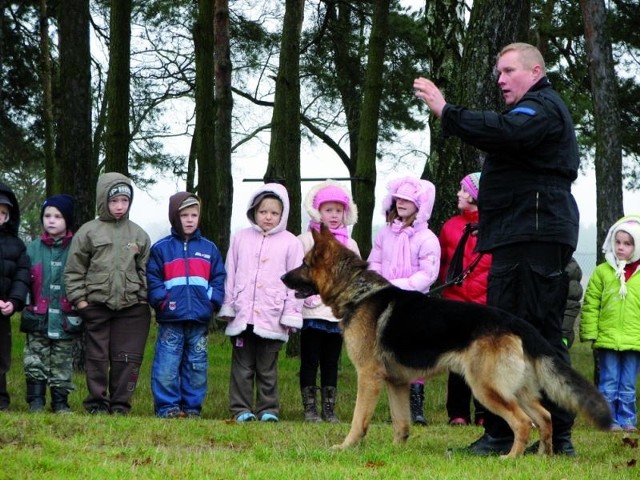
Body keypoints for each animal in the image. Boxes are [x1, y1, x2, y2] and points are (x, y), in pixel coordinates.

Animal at [282, 225, 612, 458]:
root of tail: (518, 324)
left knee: (522, 422)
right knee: (544, 417)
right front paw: (395, 452)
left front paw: (346, 446)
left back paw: (511, 458)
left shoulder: (369, 377)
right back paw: (543, 456)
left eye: (305, 263)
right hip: (516, 389)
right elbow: (401, 423)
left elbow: (358, 419)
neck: (358, 290)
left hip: (486, 389)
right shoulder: (397, 382)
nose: (283, 278)